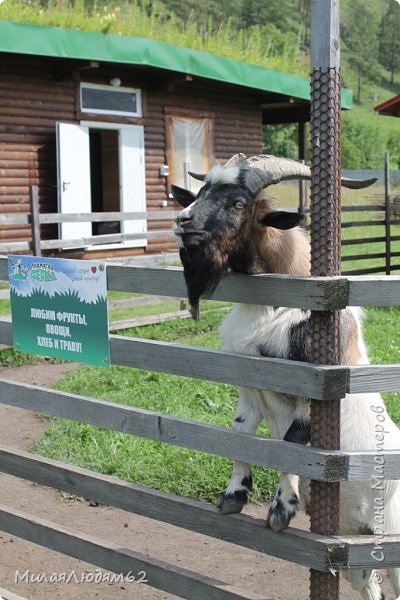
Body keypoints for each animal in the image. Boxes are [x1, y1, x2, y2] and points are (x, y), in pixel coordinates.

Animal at [172, 155, 400, 600]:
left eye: (238, 203)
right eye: (202, 192)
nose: (183, 220)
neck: (274, 307)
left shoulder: (311, 387)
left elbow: (292, 443)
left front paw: (282, 509)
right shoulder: (248, 384)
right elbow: (241, 435)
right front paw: (233, 497)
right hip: (356, 539)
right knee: (372, 586)